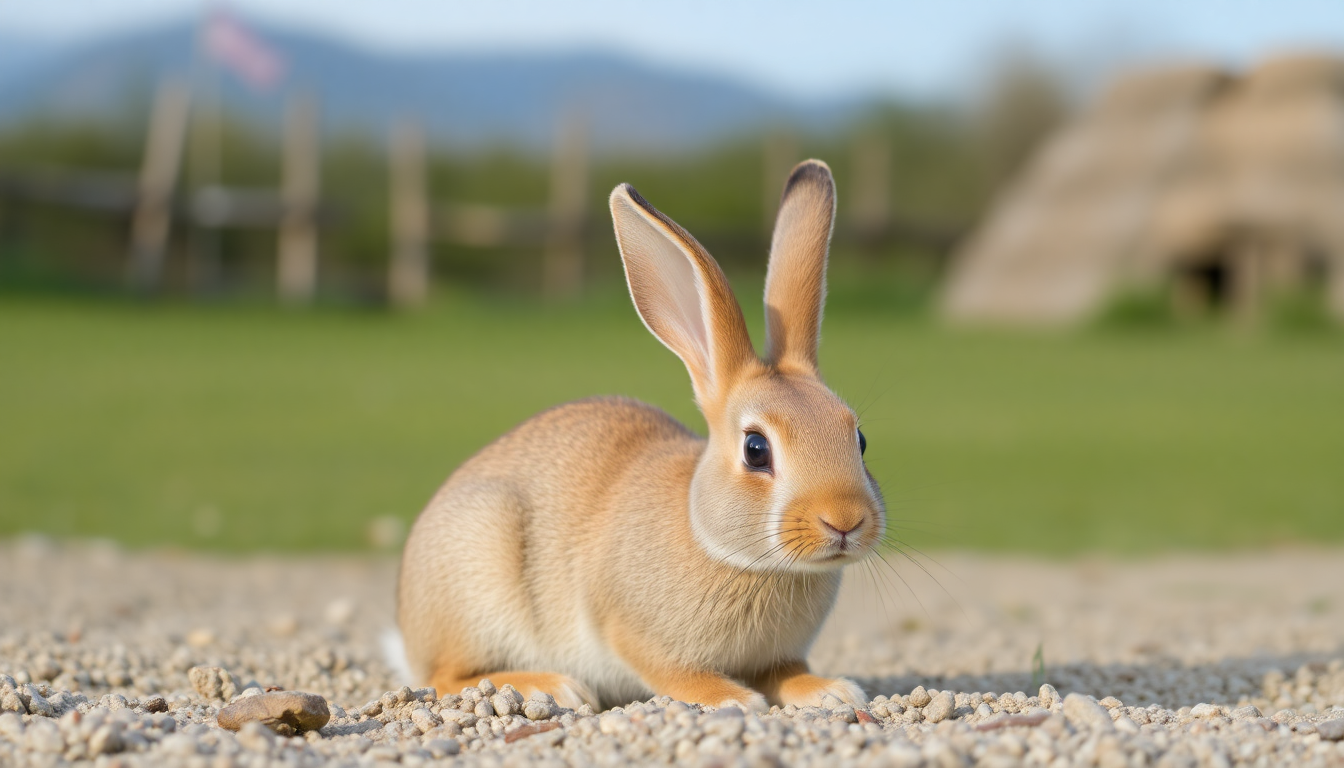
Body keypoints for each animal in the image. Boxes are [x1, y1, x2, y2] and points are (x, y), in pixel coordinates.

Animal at [397, 159, 885, 712]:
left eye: (859, 439)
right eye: (756, 449)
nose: (845, 521)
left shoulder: (775, 658)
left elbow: (786, 673)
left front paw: (832, 691)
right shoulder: (624, 627)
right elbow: (672, 671)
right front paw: (731, 699)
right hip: (478, 571)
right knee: (445, 676)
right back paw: (553, 685)